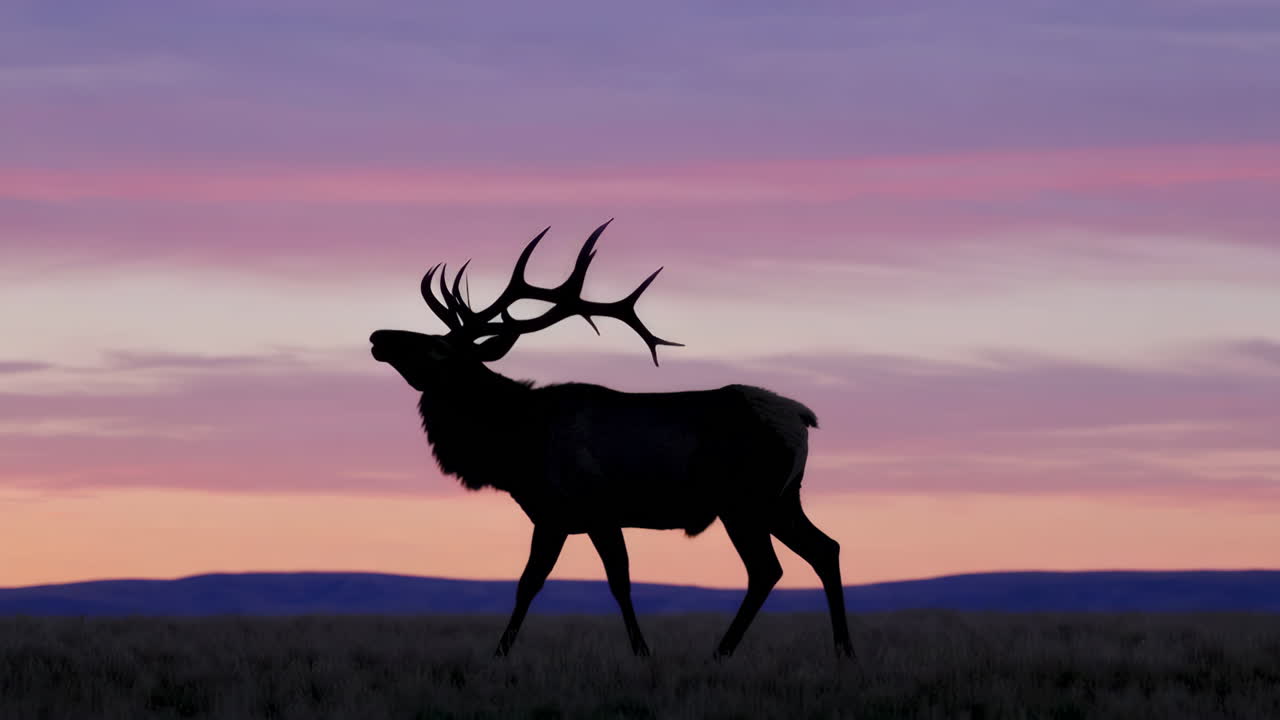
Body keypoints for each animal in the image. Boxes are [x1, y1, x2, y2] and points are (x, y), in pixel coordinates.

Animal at [369, 221, 853, 658]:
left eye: (438, 348)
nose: (378, 336)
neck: (515, 444)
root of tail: (802, 418)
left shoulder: (590, 509)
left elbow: (607, 581)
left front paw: (641, 651)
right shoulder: (556, 516)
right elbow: (531, 583)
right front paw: (502, 652)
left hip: (746, 501)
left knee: (767, 568)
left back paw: (723, 650)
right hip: (783, 499)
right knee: (823, 549)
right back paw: (841, 649)